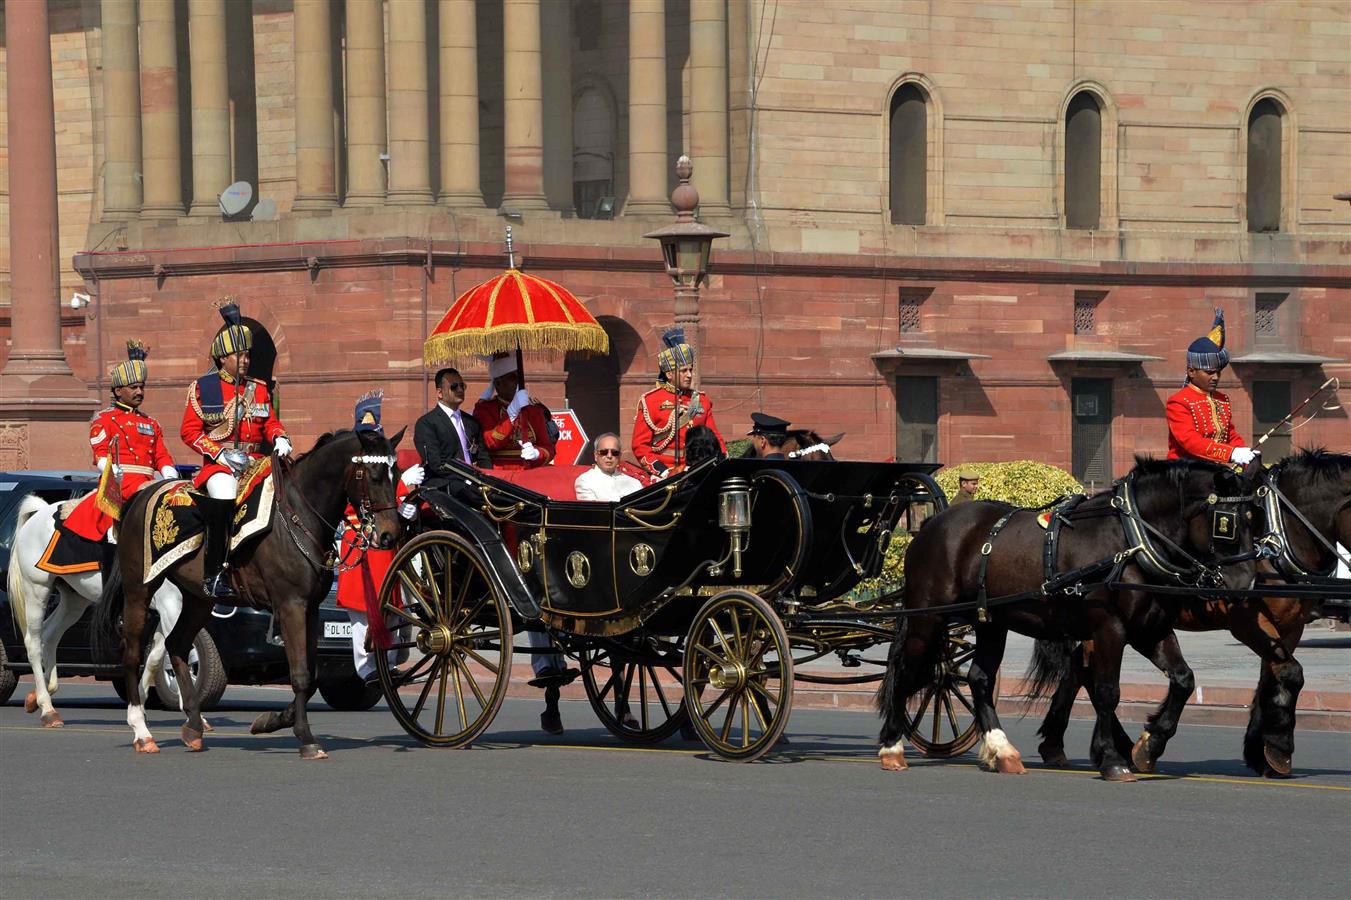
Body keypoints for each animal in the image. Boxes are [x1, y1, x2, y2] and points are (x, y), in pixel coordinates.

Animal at [5, 491, 190, 751]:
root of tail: (39, 513)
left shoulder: (174, 608)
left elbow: (155, 657)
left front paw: (143, 705)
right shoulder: (170, 603)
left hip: (74, 599)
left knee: (50, 636)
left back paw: (43, 696)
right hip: (37, 589)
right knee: (33, 642)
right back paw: (47, 708)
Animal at [94, 427, 402, 756]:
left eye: (395, 474)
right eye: (374, 475)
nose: (390, 534)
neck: (298, 515)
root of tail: (140, 496)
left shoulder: (310, 607)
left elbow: (312, 675)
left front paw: (271, 721)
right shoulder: (291, 605)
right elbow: (301, 675)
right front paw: (306, 738)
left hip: (199, 599)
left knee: (176, 644)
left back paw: (193, 726)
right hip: (139, 589)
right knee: (131, 652)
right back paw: (141, 730)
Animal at [870, 456, 1259, 778]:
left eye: (1254, 518)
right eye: (1226, 522)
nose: (1248, 582)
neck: (1130, 542)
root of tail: (931, 525)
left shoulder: (1151, 628)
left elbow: (1183, 680)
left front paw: (1150, 744)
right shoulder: (1109, 628)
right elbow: (1107, 691)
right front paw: (1113, 760)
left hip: (989, 622)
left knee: (979, 678)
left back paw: (1002, 750)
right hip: (928, 617)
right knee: (905, 671)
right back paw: (892, 747)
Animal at [1032, 445, 1351, 772]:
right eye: (1229, 525)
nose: (1244, 583)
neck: (1280, 538)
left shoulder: (1290, 625)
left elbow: (1272, 678)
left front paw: (1262, 750)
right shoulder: (1248, 623)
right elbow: (1290, 673)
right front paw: (1277, 746)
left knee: (1077, 671)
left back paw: (1061, 744)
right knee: (1087, 673)